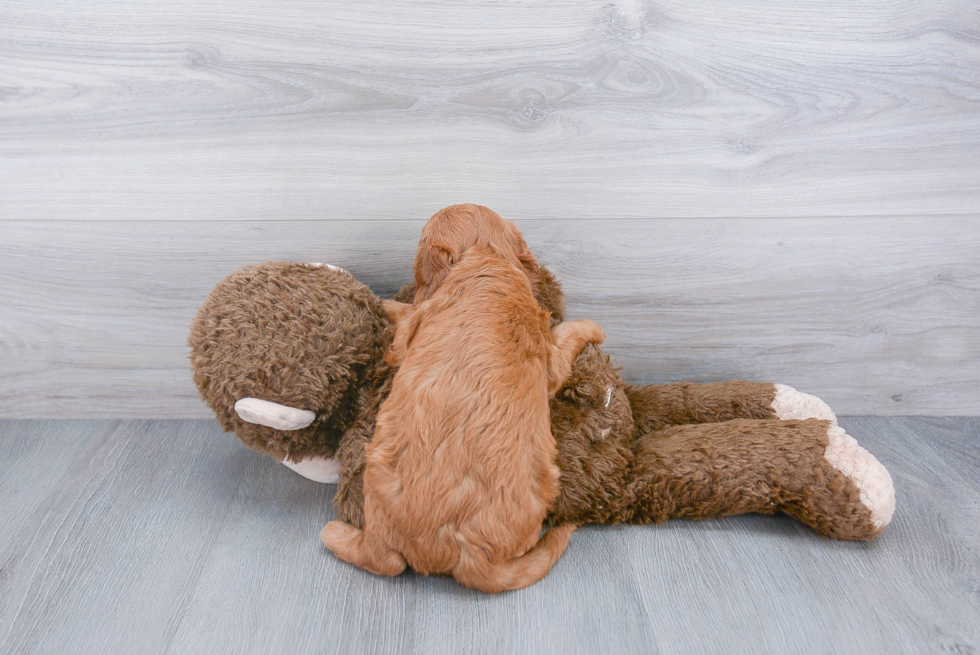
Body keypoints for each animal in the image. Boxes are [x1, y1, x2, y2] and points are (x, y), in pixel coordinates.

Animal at [322, 206, 604, 596]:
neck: (487, 259)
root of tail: (469, 555)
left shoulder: (410, 335)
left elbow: (402, 314)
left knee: (384, 560)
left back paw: (336, 533)